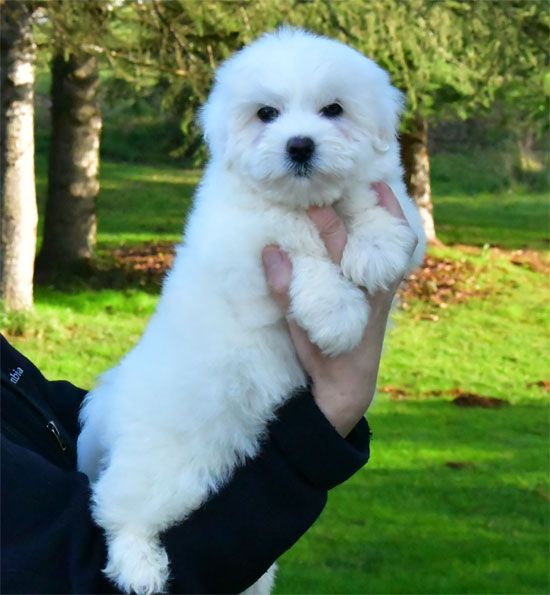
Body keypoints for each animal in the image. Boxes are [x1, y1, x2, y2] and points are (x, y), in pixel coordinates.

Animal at [77, 28, 426, 595]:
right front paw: (337, 314)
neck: (305, 201)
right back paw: (140, 566)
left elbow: (380, 212)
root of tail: (113, 399)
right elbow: (298, 252)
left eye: (333, 110)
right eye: (266, 114)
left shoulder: (397, 207)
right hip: (165, 464)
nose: (300, 144)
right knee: (119, 509)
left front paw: (372, 250)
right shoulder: (243, 249)